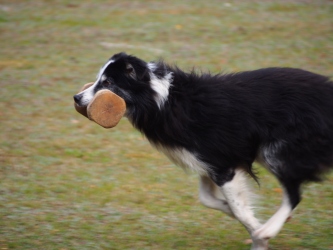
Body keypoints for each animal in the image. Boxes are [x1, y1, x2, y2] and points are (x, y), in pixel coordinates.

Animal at [74, 51, 332, 249]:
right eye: (99, 80)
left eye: (107, 83)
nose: (76, 97)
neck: (162, 100)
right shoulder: (207, 161)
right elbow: (208, 199)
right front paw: (241, 218)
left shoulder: (223, 162)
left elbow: (238, 208)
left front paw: (258, 234)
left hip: (277, 150)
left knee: (294, 193)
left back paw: (267, 230)